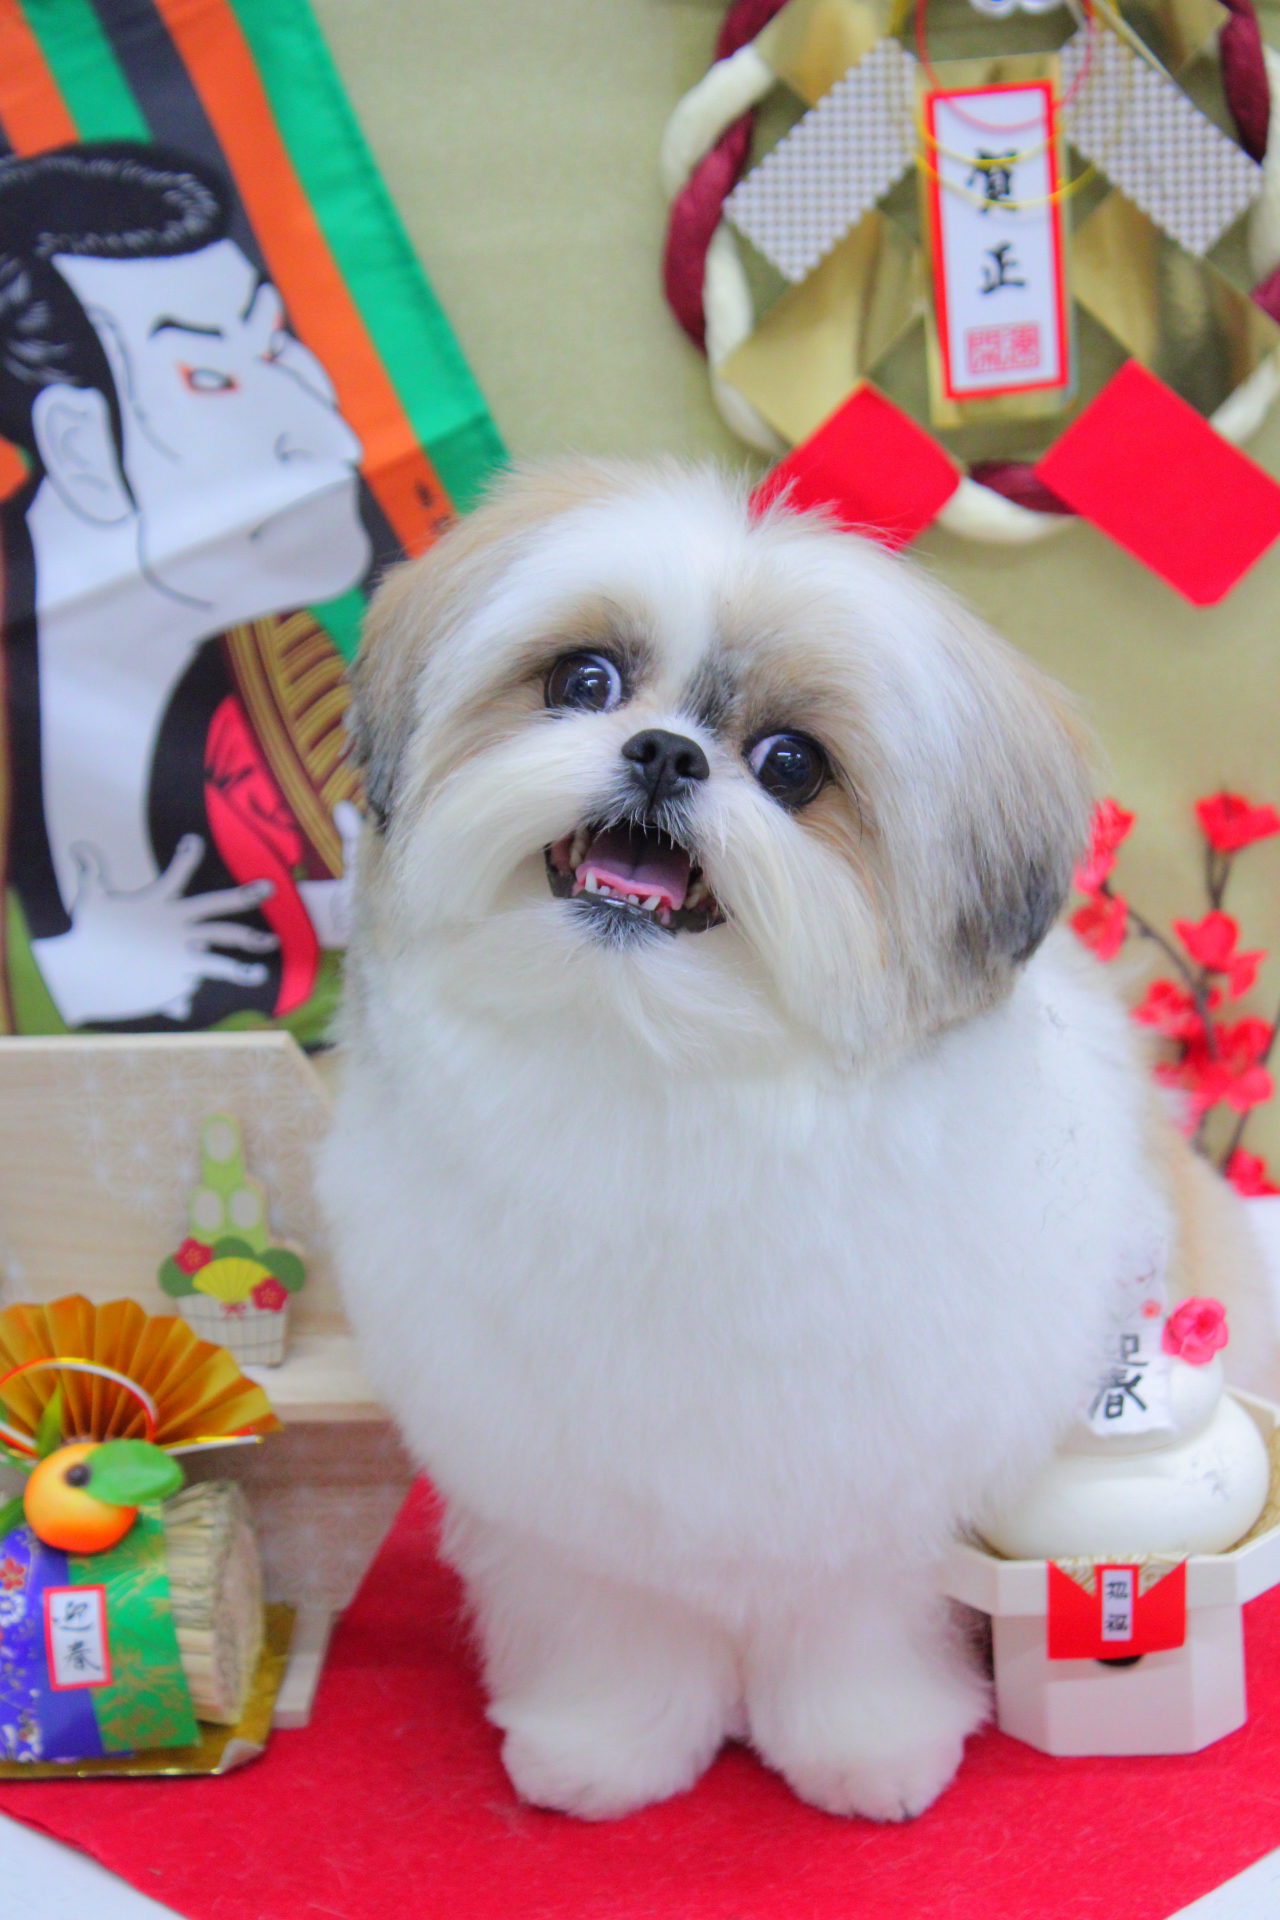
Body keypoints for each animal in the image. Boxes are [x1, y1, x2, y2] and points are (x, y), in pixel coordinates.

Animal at [320, 461, 1275, 1822]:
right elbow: (608, 1621)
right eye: (582, 682)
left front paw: (867, 1747)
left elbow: (848, 1623)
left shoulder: (865, 1479)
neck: (657, 1073)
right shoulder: (561, 1483)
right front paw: (606, 1746)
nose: (663, 752)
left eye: (789, 766)